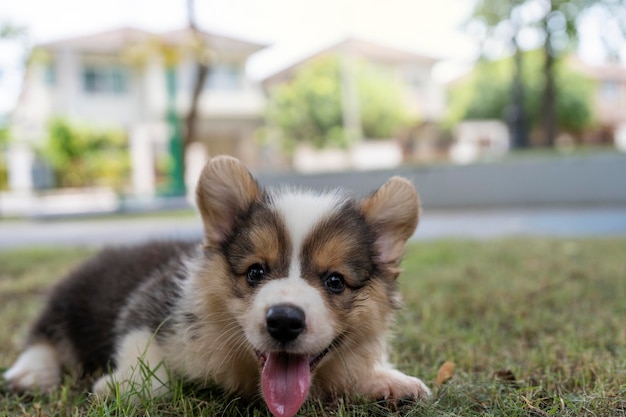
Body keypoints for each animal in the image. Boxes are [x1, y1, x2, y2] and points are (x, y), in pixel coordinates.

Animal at [4, 155, 432, 412]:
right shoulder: (150, 300)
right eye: (256, 272)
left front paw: (388, 379)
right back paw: (31, 374)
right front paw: (123, 385)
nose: (284, 321)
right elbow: (146, 360)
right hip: (72, 297)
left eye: (335, 281)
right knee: (44, 337)